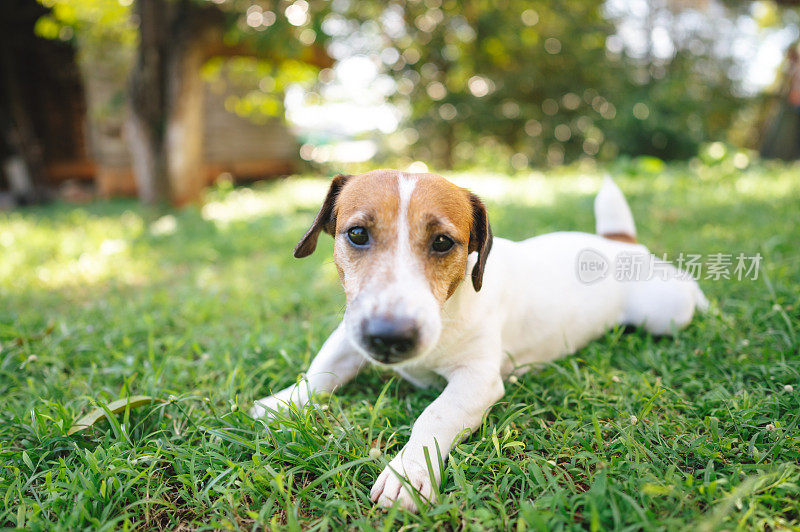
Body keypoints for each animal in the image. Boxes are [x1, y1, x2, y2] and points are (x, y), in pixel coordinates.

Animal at [250, 169, 708, 512]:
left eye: (442, 242)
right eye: (358, 234)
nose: (389, 338)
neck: (448, 307)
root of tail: (618, 244)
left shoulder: (478, 379)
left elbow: (435, 414)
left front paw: (408, 472)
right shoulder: (350, 333)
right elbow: (321, 371)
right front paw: (283, 403)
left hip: (664, 311)